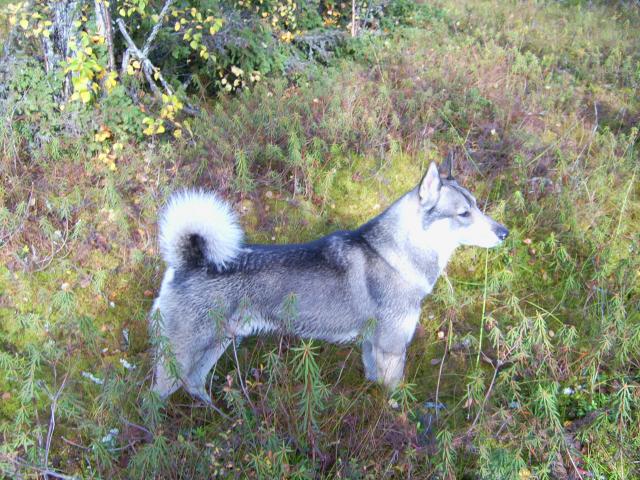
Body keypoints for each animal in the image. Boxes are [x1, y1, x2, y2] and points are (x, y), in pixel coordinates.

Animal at [150, 157, 510, 402]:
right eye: (464, 213)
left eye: (477, 206)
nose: (504, 233)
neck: (396, 255)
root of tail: (189, 260)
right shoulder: (392, 349)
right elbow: (395, 399)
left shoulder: (373, 348)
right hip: (181, 355)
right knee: (154, 398)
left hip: (217, 344)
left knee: (193, 383)